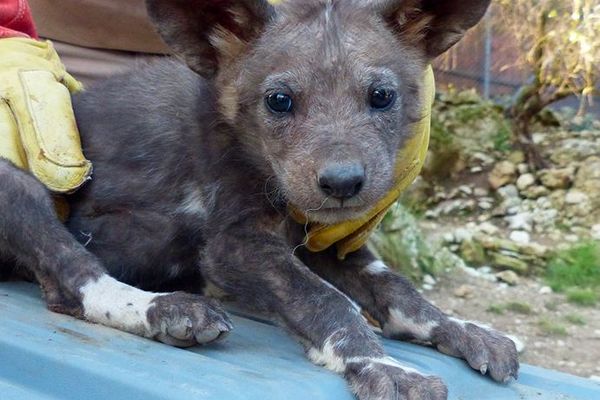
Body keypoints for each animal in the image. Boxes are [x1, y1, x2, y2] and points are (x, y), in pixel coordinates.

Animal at [0, 1, 516, 398]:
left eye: (382, 96)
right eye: (279, 101)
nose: (342, 182)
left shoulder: (330, 244)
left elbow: (398, 289)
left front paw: (457, 328)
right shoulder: (235, 245)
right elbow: (326, 299)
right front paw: (378, 365)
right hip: (26, 186)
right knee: (71, 281)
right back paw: (166, 309)